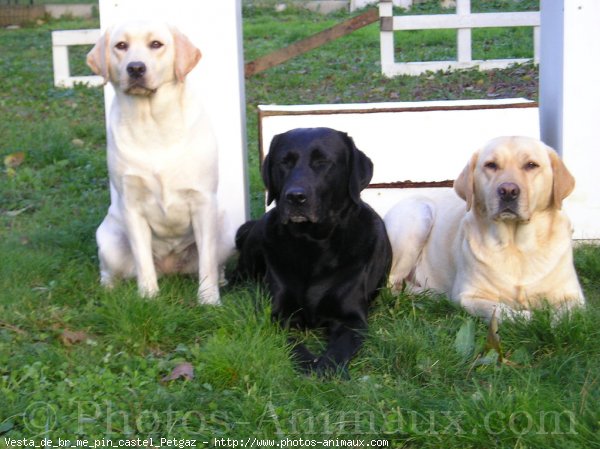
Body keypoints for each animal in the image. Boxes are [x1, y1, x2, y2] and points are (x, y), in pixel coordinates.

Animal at [237, 126, 392, 374]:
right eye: (284, 162)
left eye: (322, 162)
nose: (295, 197)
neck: (312, 243)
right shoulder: (277, 315)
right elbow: (292, 343)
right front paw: (308, 363)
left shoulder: (352, 320)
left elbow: (338, 350)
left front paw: (325, 369)